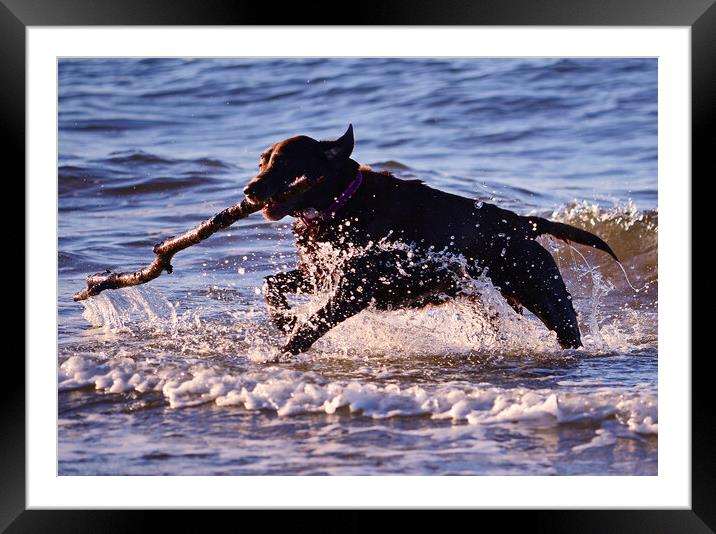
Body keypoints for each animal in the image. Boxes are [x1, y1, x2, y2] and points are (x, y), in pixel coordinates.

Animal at [245, 125, 616, 356]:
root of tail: (522, 223)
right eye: (262, 162)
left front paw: (284, 349)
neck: (344, 204)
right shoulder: (318, 273)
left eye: (284, 162)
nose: (249, 190)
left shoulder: (355, 288)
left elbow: (314, 323)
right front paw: (284, 319)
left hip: (543, 292)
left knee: (568, 330)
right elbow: (270, 283)